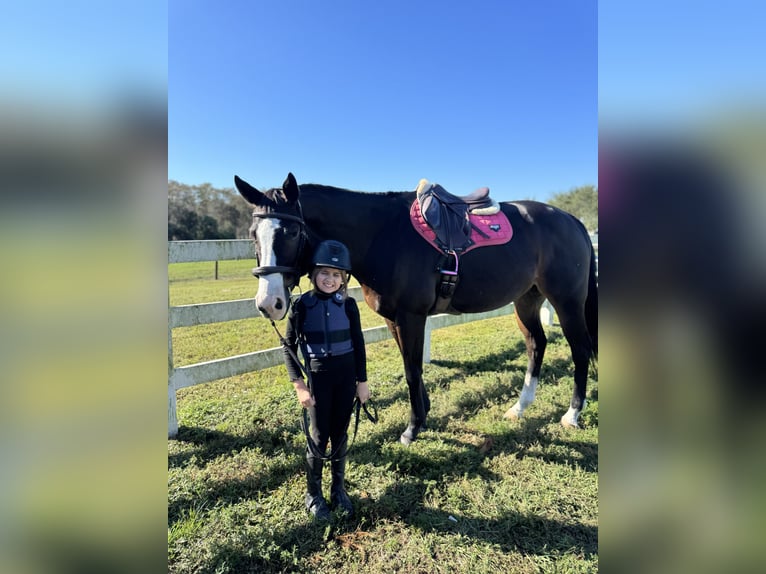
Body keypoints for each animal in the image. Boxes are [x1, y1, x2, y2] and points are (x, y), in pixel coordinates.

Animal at [235, 172, 597, 445]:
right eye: (253, 234)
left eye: (292, 231)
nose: (269, 303)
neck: (383, 234)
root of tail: (572, 220)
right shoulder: (394, 319)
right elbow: (412, 367)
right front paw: (423, 414)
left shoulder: (411, 316)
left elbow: (411, 370)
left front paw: (411, 429)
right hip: (527, 299)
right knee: (536, 344)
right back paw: (519, 408)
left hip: (566, 301)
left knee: (580, 350)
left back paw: (572, 414)